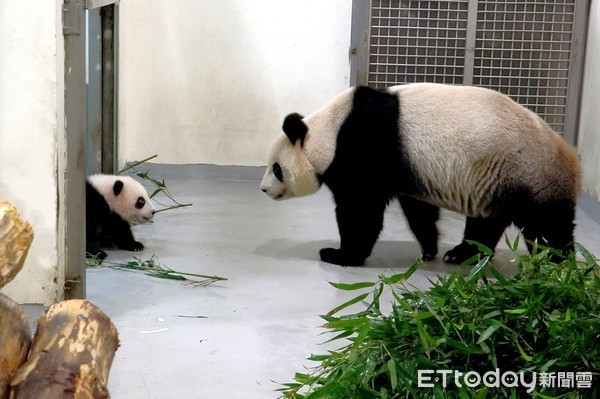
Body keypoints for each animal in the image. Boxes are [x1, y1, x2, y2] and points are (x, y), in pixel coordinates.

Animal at [258, 83, 580, 268]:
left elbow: (360, 212)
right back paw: (464, 254)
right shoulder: (409, 168)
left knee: (547, 225)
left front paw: (339, 255)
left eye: (276, 167)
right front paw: (428, 249)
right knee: (487, 222)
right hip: (494, 180)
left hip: (527, 171)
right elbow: (418, 211)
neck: (328, 133)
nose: (263, 189)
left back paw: (557, 266)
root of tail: (570, 155)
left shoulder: (365, 148)